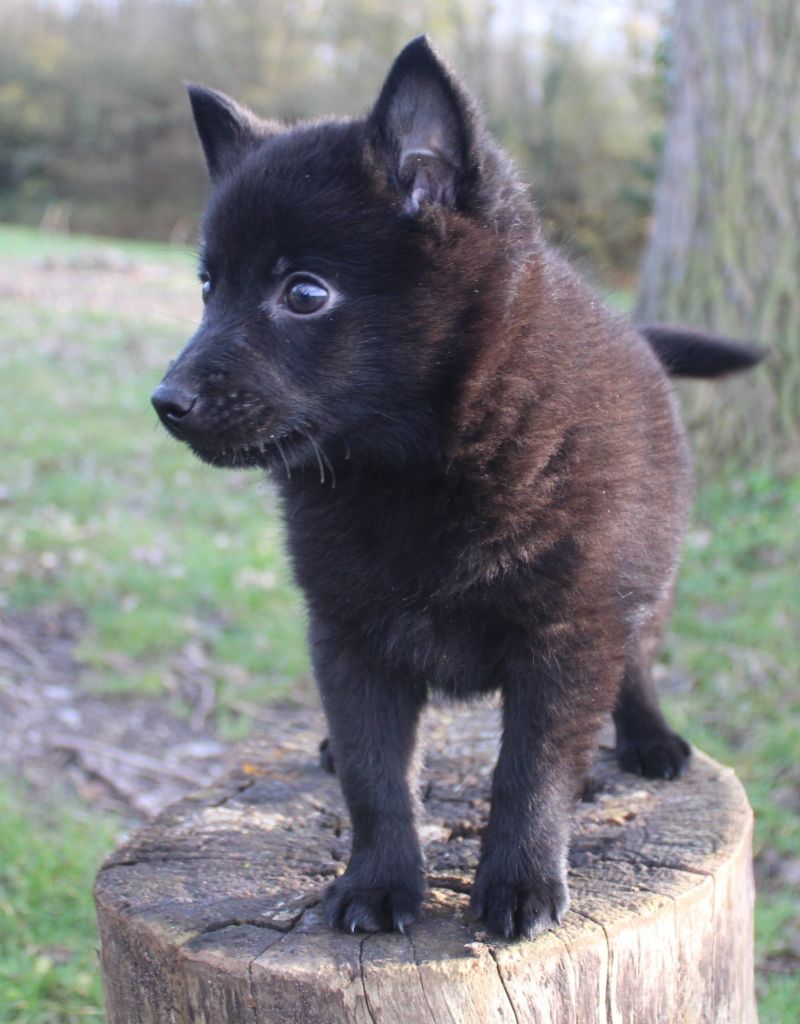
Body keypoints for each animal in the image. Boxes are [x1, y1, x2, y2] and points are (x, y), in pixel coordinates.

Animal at [154, 37, 762, 937]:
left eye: (304, 292)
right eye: (207, 287)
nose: (166, 402)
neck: (411, 471)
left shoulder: (568, 631)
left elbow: (530, 769)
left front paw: (520, 881)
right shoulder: (347, 635)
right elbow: (374, 775)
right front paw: (378, 881)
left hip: (644, 589)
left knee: (637, 668)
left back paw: (650, 740)